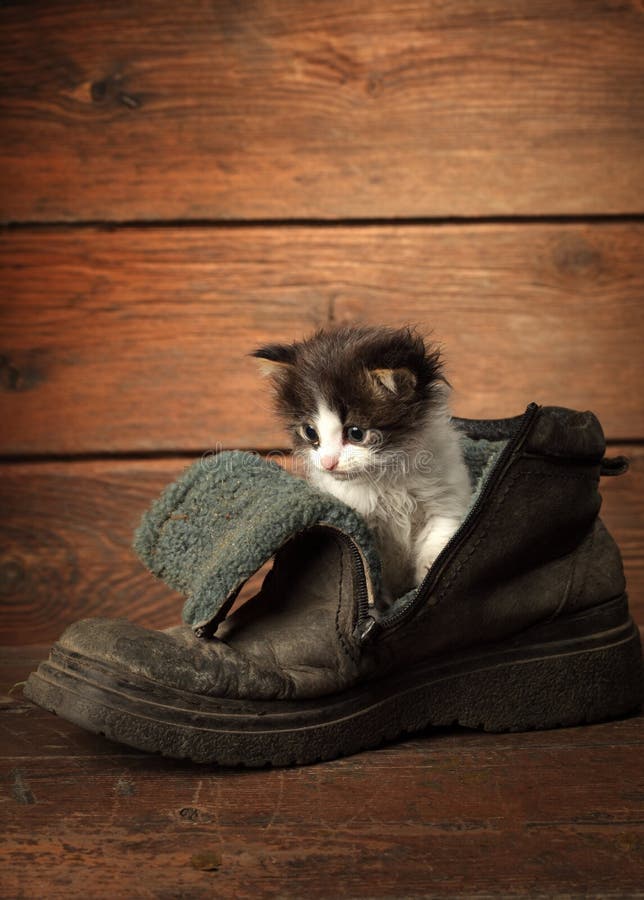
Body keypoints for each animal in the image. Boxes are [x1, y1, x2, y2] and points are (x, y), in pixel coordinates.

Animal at [253, 324, 472, 604]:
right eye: (310, 432)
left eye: (356, 433)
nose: (328, 462)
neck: (388, 480)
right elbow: (372, 577)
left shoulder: (446, 496)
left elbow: (440, 541)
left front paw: (426, 580)